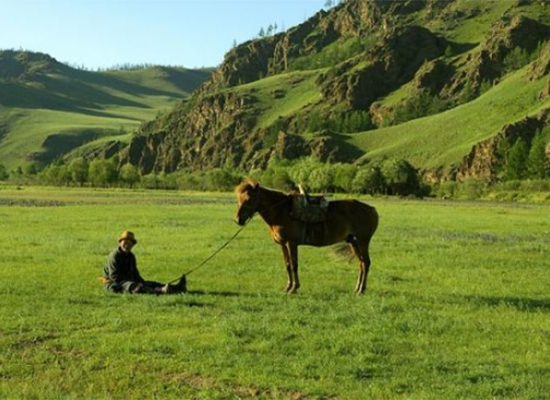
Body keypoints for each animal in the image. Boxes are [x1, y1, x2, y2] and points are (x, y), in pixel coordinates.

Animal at [235, 178, 382, 294]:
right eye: (239, 199)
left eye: (249, 199)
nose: (238, 220)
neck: (282, 212)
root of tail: (372, 210)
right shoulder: (283, 245)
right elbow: (287, 265)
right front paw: (288, 287)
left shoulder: (291, 243)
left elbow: (294, 265)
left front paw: (294, 288)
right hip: (354, 242)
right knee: (361, 263)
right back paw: (358, 288)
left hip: (362, 241)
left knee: (366, 263)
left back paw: (361, 290)